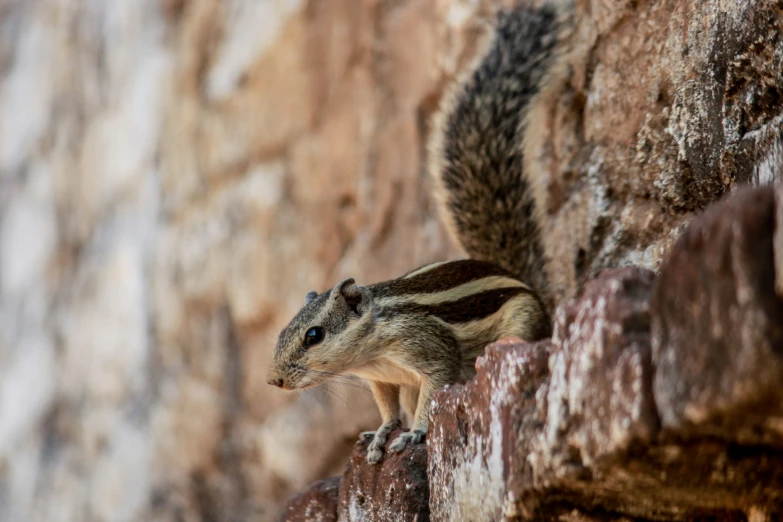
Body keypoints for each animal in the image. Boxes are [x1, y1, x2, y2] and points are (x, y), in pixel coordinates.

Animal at [268, 2, 568, 462]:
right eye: (283, 332)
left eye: (313, 335)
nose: (275, 380)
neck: (372, 349)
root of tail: (520, 278)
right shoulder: (384, 379)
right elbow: (390, 408)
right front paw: (381, 432)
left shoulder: (429, 350)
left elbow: (434, 389)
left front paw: (418, 432)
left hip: (523, 319)